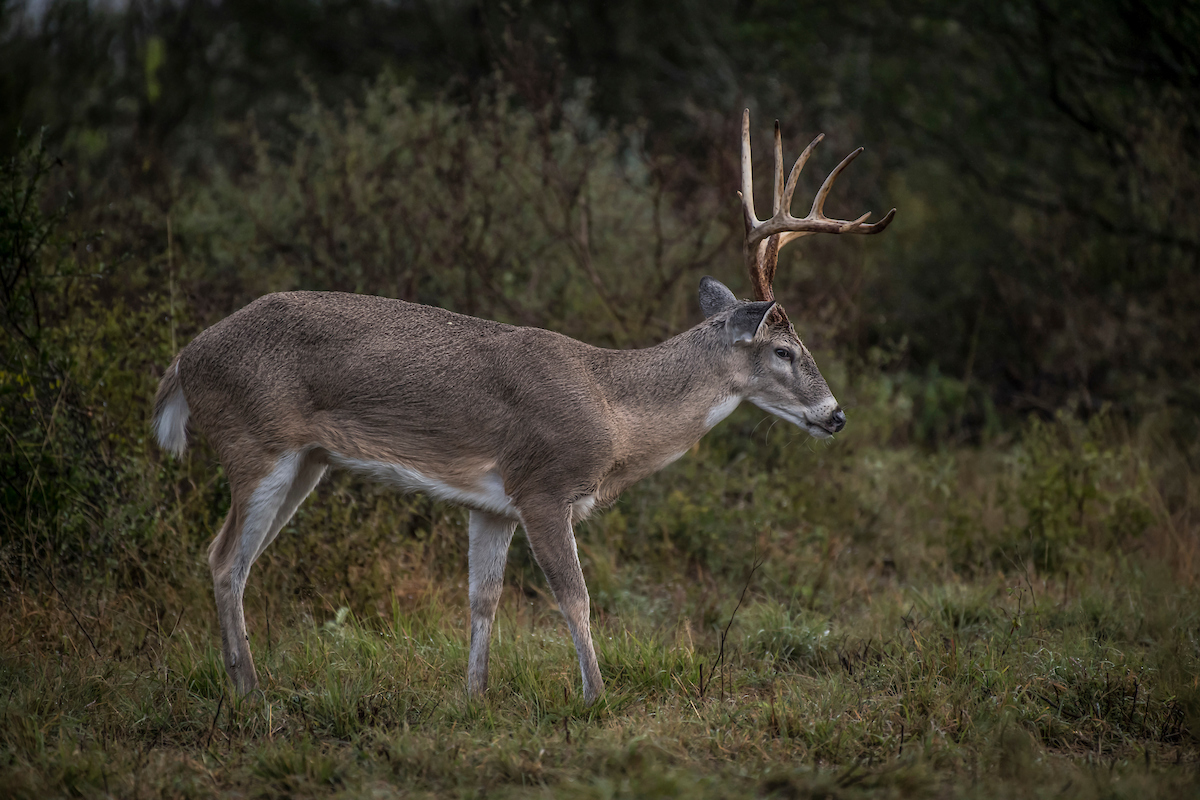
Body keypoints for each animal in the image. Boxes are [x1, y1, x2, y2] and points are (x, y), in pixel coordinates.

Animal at [152, 110, 894, 705]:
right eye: (785, 351)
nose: (836, 415)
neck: (614, 407)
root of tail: (183, 362)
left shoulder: (492, 502)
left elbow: (483, 599)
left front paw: (474, 696)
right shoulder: (543, 485)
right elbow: (576, 597)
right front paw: (597, 697)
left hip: (307, 461)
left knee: (238, 560)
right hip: (255, 442)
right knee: (223, 558)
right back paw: (249, 692)